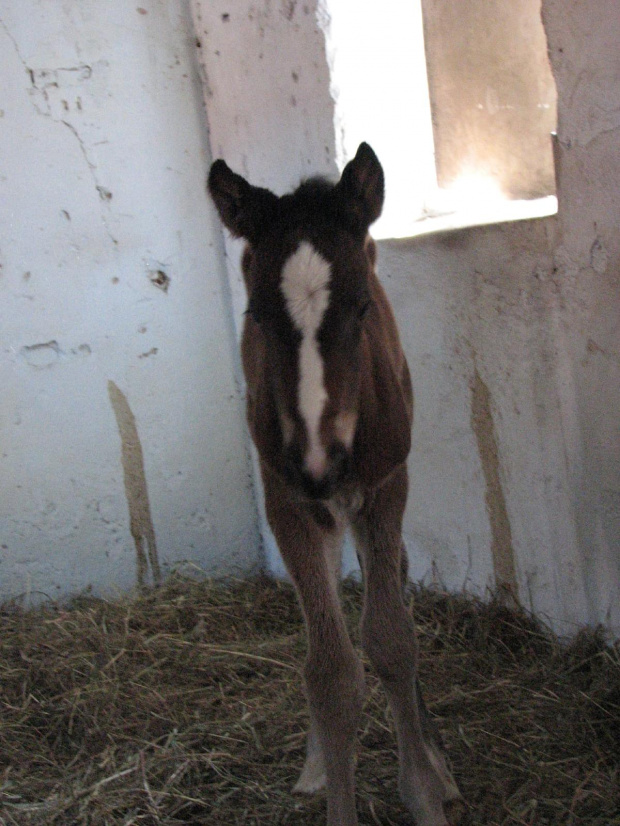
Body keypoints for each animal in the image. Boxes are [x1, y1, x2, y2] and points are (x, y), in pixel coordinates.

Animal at [208, 145, 460, 820]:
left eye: (362, 307)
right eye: (256, 316)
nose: (321, 462)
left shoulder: (384, 487)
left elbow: (392, 640)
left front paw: (424, 792)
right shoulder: (288, 499)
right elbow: (329, 670)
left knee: (391, 578)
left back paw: (436, 758)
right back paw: (318, 761)